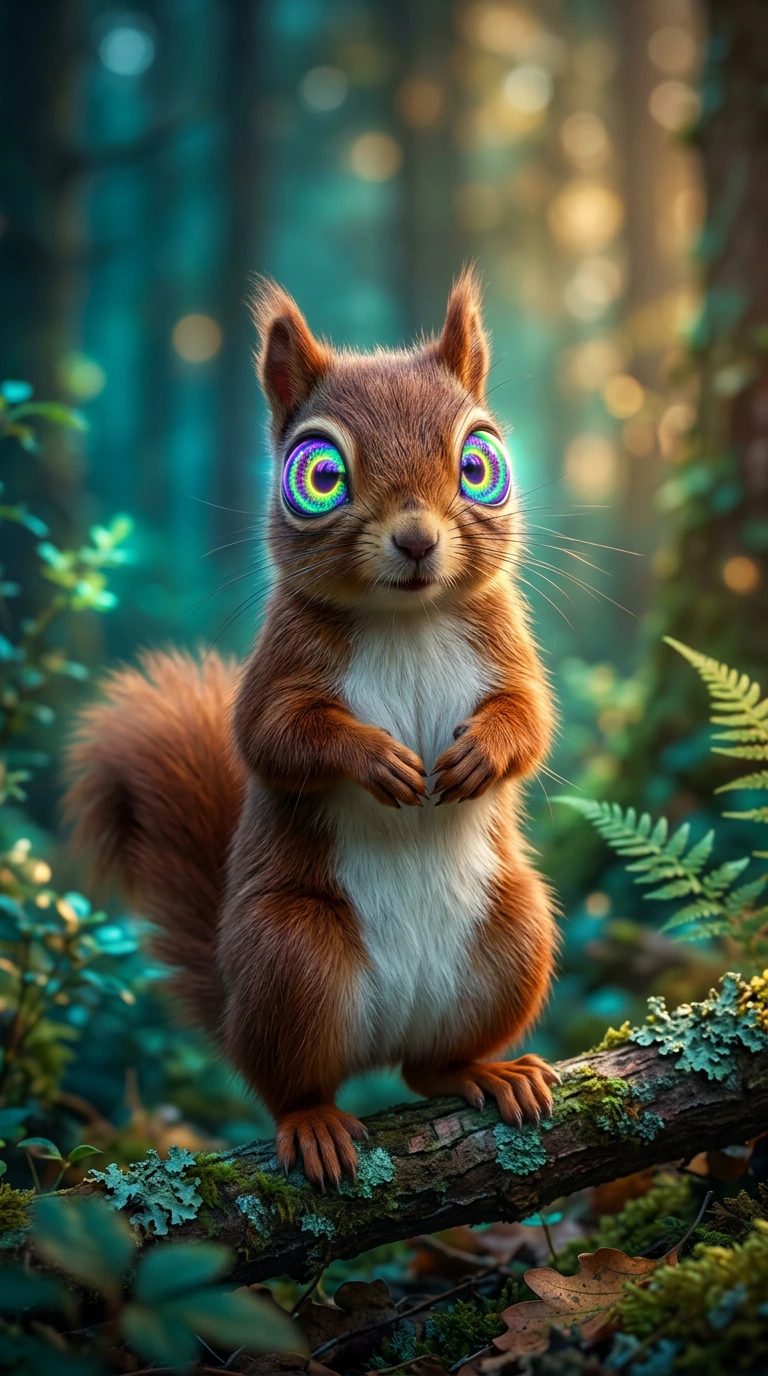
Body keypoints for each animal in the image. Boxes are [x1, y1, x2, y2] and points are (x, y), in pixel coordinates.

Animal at [65, 268, 559, 1189]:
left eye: (479, 465)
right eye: (321, 474)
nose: (416, 538)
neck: (406, 620)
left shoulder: (509, 647)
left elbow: (532, 720)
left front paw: (480, 755)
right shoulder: (276, 670)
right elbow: (275, 738)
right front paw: (376, 761)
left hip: (515, 936)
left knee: (429, 1067)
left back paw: (488, 1072)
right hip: (291, 954)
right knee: (292, 1084)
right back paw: (317, 1124)